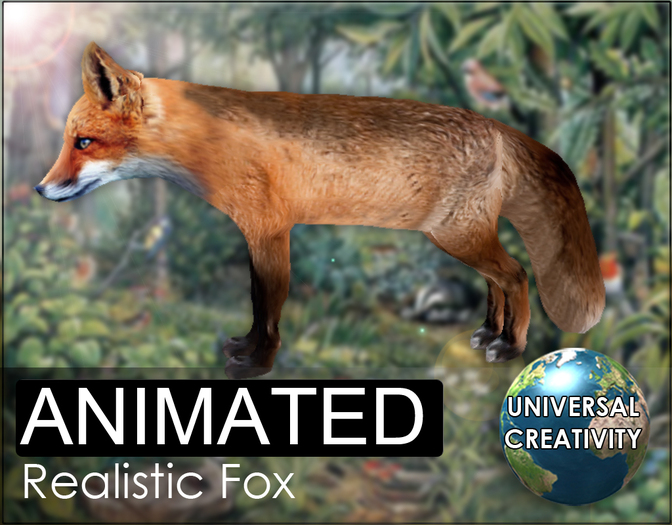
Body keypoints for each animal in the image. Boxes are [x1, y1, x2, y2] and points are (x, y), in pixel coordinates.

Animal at [37, 43, 605, 379]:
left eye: (83, 143)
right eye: (68, 142)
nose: (42, 189)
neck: (209, 143)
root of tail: (496, 126)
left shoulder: (269, 232)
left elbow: (269, 309)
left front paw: (259, 363)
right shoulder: (259, 236)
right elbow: (257, 306)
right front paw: (246, 348)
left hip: (457, 237)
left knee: (517, 275)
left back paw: (511, 345)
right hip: (464, 238)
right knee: (498, 280)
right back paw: (490, 332)